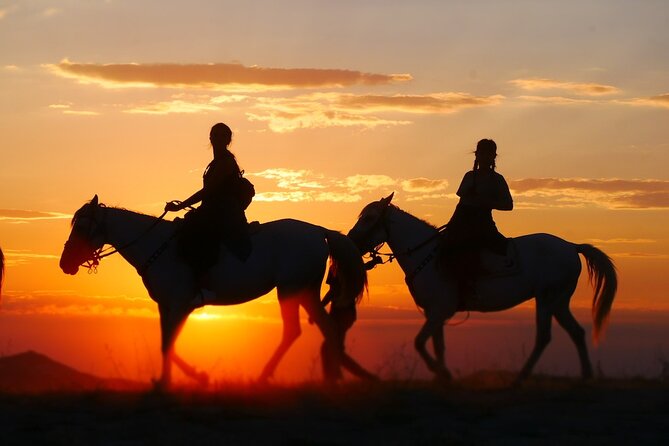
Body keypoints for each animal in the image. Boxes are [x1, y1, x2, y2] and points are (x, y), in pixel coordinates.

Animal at [59, 195, 368, 386]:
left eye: (83, 227)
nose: (65, 264)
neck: (157, 246)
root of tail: (319, 231)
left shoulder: (181, 303)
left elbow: (168, 343)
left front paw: (186, 380)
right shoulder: (166, 305)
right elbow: (166, 342)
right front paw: (170, 381)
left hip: (290, 290)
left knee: (293, 331)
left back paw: (263, 378)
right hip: (305, 291)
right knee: (327, 327)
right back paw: (333, 380)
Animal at [348, 193, 620, 384]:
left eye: (369, 218)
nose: (351, 241)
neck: (427, 255)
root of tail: (571, 247)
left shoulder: (439, 311)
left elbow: (419, 343)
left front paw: (441, 372)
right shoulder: (435, 314)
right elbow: (437, 345)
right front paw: (442, 377)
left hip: (546, 299)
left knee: (544, 337)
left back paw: (520, 378)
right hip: (559, 301)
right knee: (576, 332)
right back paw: (585, 376)